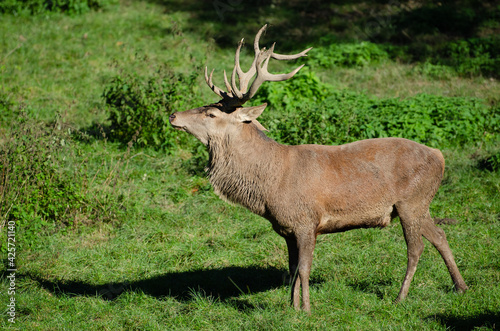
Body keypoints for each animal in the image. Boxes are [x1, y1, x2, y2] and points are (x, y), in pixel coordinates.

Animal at [169, 24, 468, 312]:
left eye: (211, 114)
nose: (173, 115)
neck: (269, 186)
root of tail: (440, 156)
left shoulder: (306, 220)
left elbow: (304, 269)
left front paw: (307, 309)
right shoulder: (286, 228)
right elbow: (291, 269)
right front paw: (291, 307)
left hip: (410, 201)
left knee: (416, 247)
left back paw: (400, 297)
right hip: (419, 204)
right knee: (440, 235)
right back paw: (460, 286)